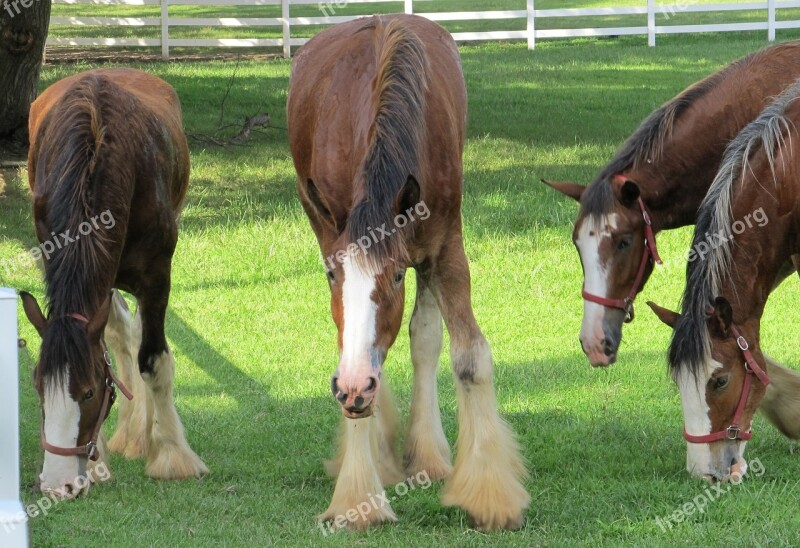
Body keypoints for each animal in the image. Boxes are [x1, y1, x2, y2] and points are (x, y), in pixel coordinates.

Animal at [22, 68, 209, 496]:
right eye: (39, 387)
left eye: (89, 391)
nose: (57, 485)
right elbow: (112, 344)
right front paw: (95, 464)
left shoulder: (156, 277)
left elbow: (152, 360)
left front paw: (172, 455)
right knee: (121, 335)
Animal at [290, 15, 532, 532]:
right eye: (332, 276)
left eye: (397, 276)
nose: (352, 385)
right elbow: (358, 359)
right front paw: (359, 496)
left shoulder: (444, 250)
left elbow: (467, 356)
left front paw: (489, 493)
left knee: (423, 341)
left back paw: (428, 454)